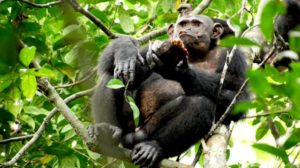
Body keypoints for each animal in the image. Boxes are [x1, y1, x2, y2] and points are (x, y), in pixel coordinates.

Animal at [91, 12, 248, 167]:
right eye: (183, 24)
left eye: (196, 24)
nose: (187, 29)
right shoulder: (150, 50)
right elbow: (109, 65)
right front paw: (125, 52)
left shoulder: (234, 56)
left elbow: (239, 96)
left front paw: (177, 71)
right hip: (130, 126)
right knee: (110, 78)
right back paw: (107, 129)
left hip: (146, 131)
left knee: (201, 103)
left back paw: (153, 147)